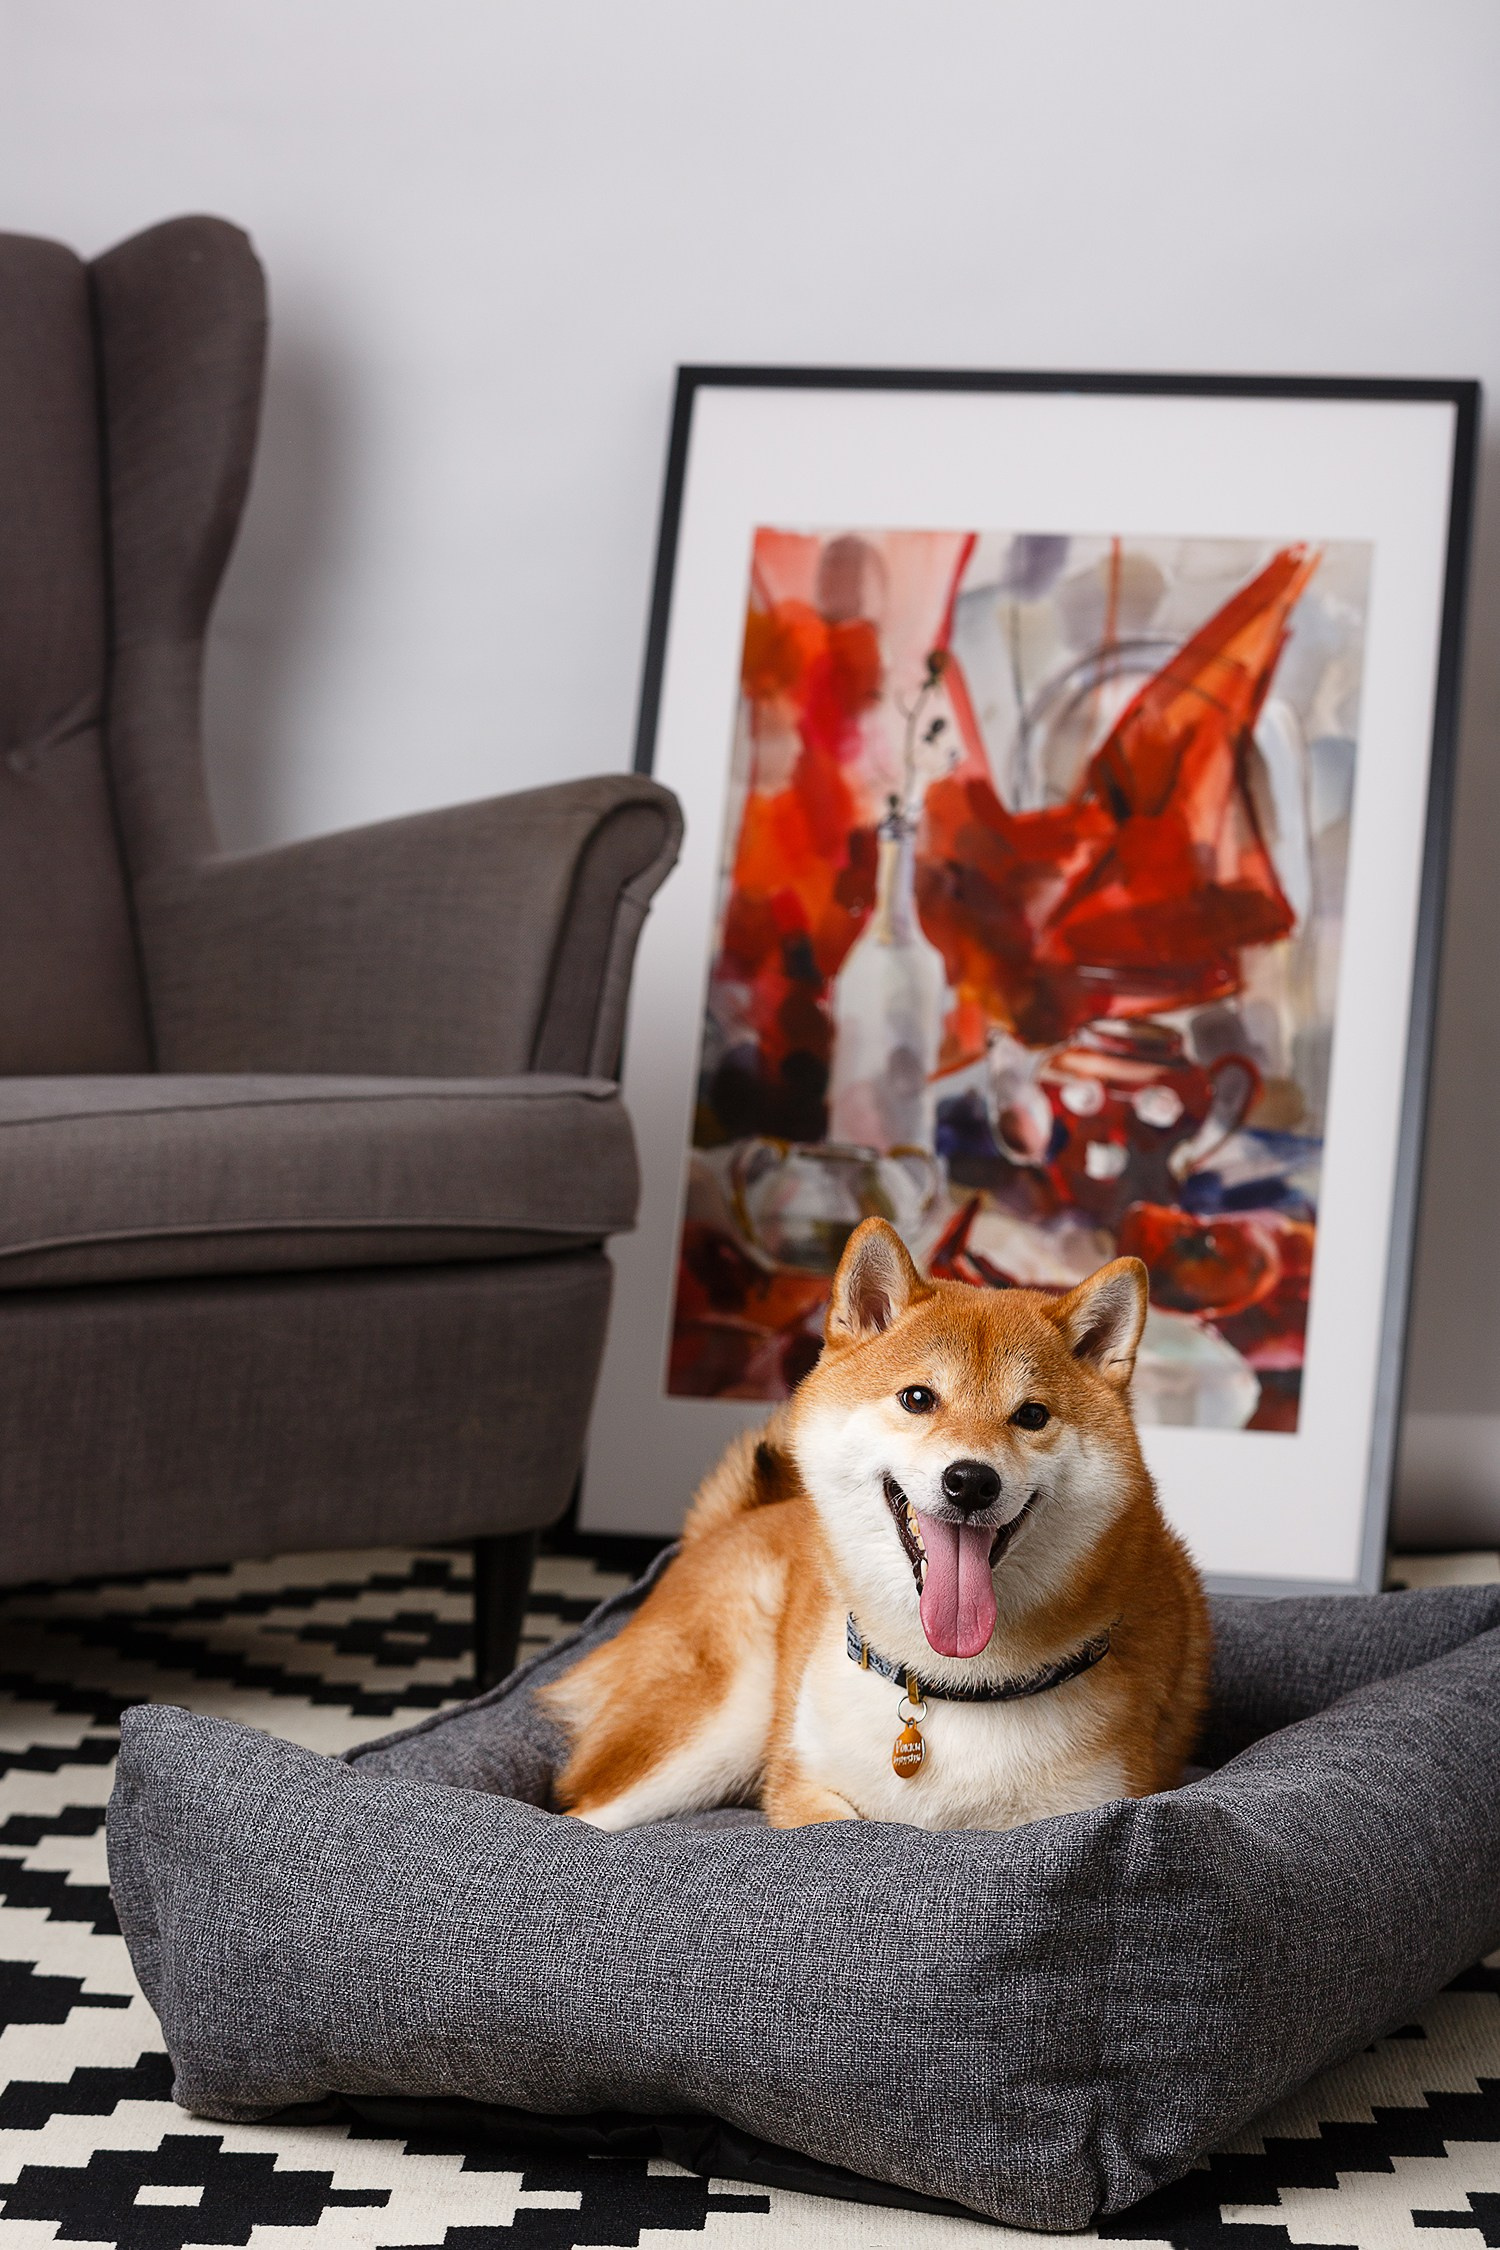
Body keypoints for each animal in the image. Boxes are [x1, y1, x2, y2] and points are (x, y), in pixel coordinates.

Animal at [544, 1216, 1210, 1831]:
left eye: (1032, 1415)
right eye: (918, 1398)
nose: (971, 1481)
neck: (949, 1685)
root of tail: (732, 1522)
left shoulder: (1093, 1805)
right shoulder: (803, 1785)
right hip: (713, 1729)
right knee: (581, 1818)